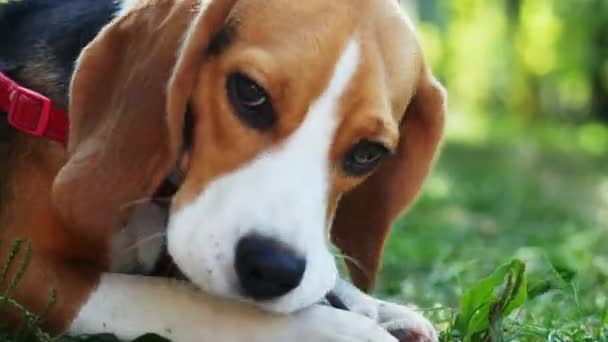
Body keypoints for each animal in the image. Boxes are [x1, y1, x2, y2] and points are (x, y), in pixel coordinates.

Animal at [0, 0, 446, 340]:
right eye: (249, 92)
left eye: (368, 153)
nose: (272, 269)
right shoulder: (21, 269)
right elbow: (182, 300)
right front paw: (337, 329)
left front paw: (372, 306)